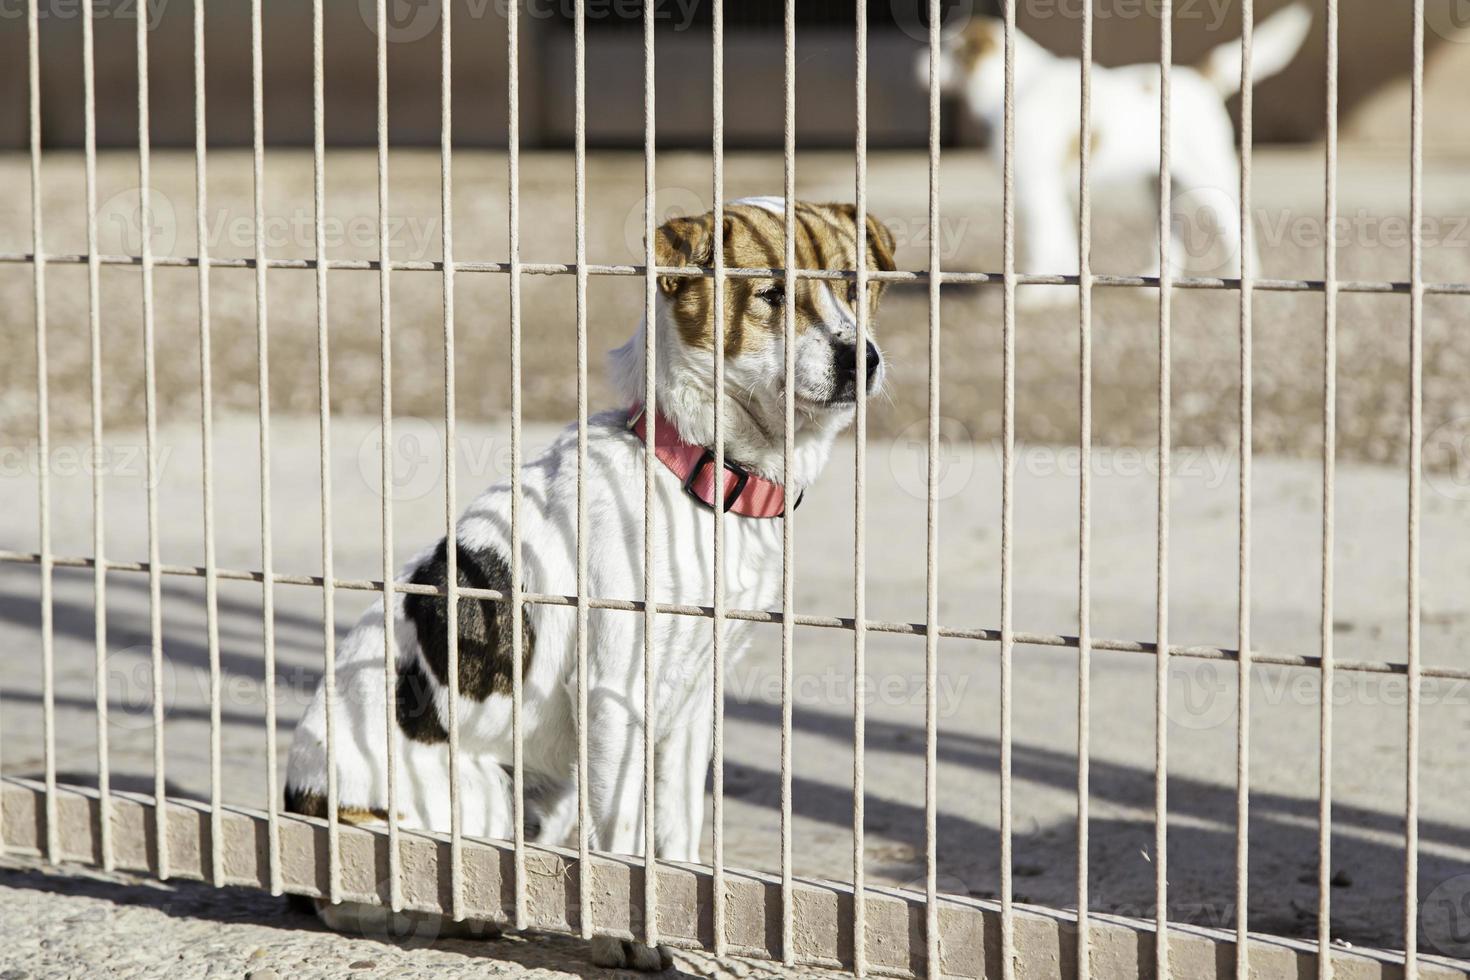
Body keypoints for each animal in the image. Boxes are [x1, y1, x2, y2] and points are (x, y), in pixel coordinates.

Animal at [279, 195, 887, 969]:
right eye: (772, 295)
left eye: (856, 285)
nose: (861, 358)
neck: (693, 467)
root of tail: (299, 807)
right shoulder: (613, 697)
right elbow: (622, 839)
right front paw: (626, 939)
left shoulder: (692, 702)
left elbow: (677, 825)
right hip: (466, 800)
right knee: (379, 892)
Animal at [929, 3, 1311, 301]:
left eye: (948, 50)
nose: (920, 63)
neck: (1017, 86)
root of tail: (1200, 80)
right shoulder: (1049, 189)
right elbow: (1062, 239)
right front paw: (1059, 292)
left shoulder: (1034, 186)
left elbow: (1043, 240)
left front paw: (1036, 295)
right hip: (1161, 185)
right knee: (1172, 229)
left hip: (1208, 176)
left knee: (1235, 223)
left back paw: (1243, 281)